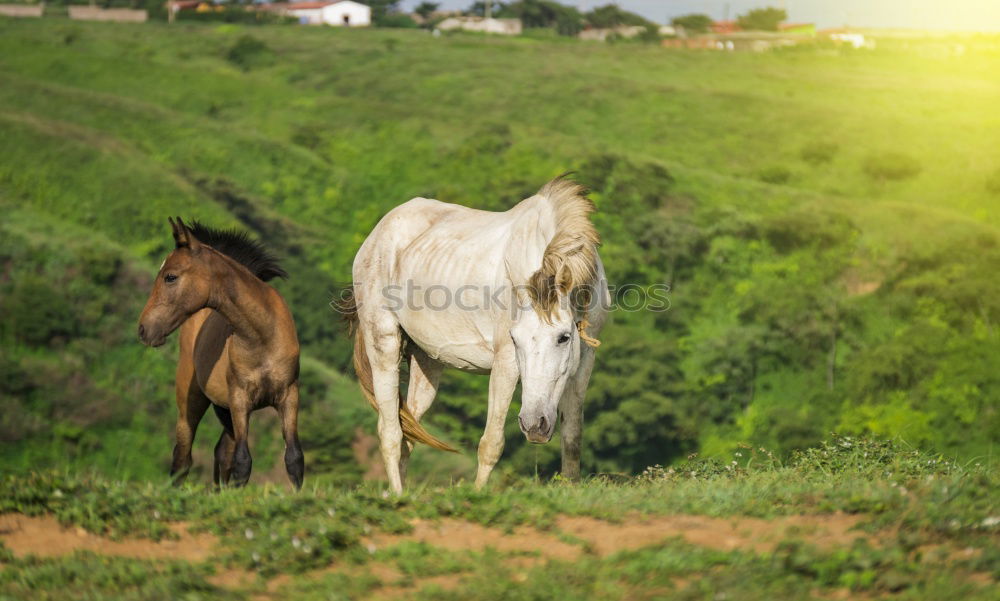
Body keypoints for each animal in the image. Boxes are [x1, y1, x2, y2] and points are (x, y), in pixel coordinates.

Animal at [136, 218, 304, 490]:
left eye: (170, 276)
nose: (144, 329)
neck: (261, 337)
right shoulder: (240, 399)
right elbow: (243, 461)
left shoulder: (288, 396)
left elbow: (294, 458)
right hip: (192, 400)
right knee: (183, 457)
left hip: (224, 410)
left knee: (222, 452)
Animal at [344, 175, 608, 492]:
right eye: (515, 339)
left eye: (564, 337)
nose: (535, 425)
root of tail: (377, 234)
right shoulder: (505, 363)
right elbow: (491, 442)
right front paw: (479, 495)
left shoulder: (584, 363)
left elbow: (572, 441)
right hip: (383, 345)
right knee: (390, 432)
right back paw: (397, 496)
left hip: (427, 363)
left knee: (409, 432)